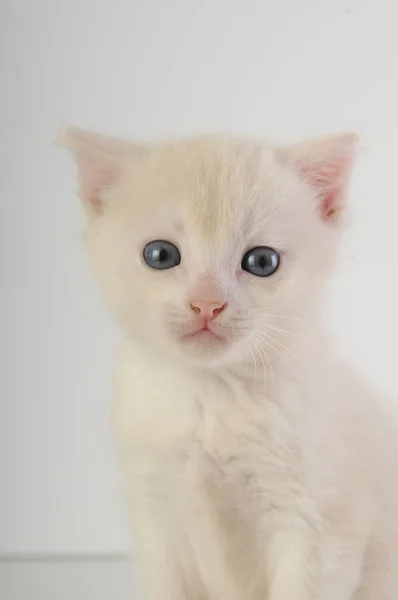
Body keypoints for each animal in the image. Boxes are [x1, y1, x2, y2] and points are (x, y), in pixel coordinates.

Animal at [59, 127, 398, 600]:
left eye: (262, 261)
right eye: (160, 254)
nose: (207, 304)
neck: (211, 397)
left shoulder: (320, 523)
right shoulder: (156, 512)